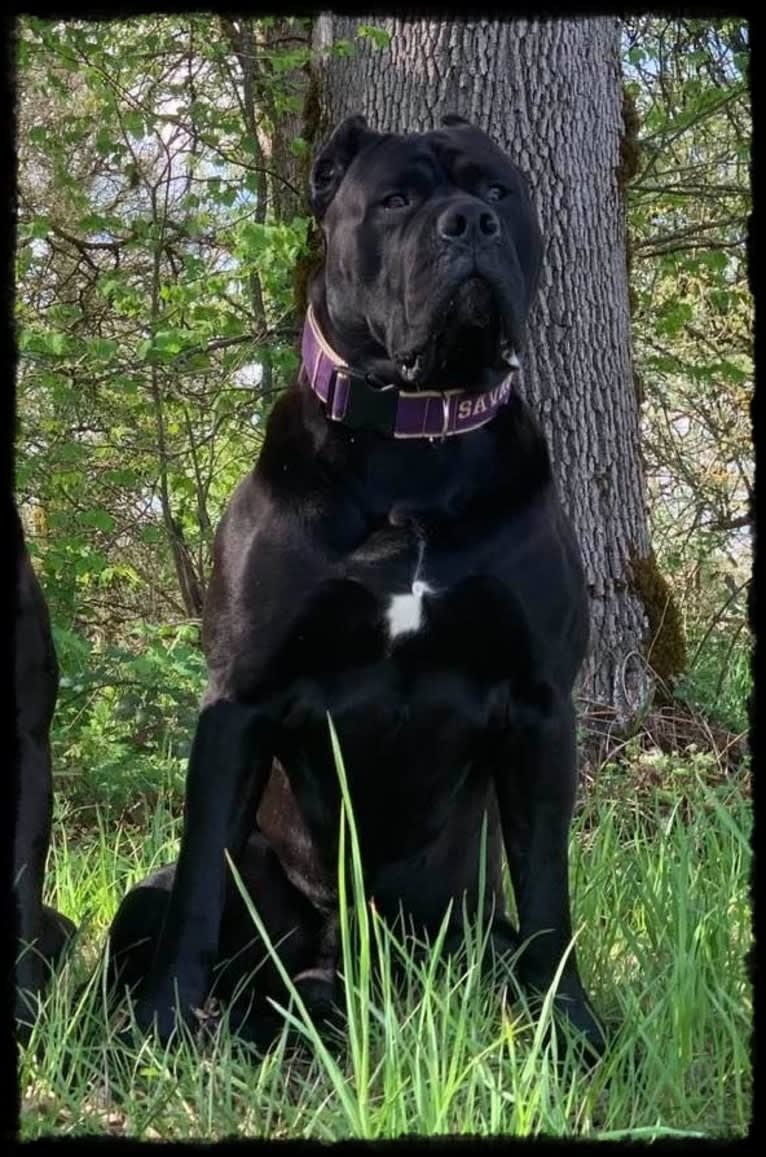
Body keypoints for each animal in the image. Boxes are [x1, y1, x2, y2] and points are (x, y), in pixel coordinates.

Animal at [106, 115, 606, 1059]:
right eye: (396, 200)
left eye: (498, 191)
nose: (468, 224)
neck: (416, 440)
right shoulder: (241, 699)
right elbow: (200, 882)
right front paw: (165, 1022)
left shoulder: (540, 705)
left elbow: (548, 890)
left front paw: (569, 1025)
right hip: (167, 898)